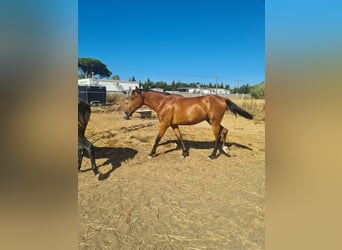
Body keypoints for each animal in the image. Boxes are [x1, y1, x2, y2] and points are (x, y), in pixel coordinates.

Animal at [125, 87, 254, 159]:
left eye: (133, 97)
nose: (126, 113)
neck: (164, 103)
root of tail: (222, 99)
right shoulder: (174, 125)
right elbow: (180, 137)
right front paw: (184, 153)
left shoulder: (165, 124)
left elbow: (157, 138)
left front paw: (151, 153)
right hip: (212, 121)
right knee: (225, 130)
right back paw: (225, 149)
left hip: (214, 122)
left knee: (217, 136)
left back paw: (212, 155)